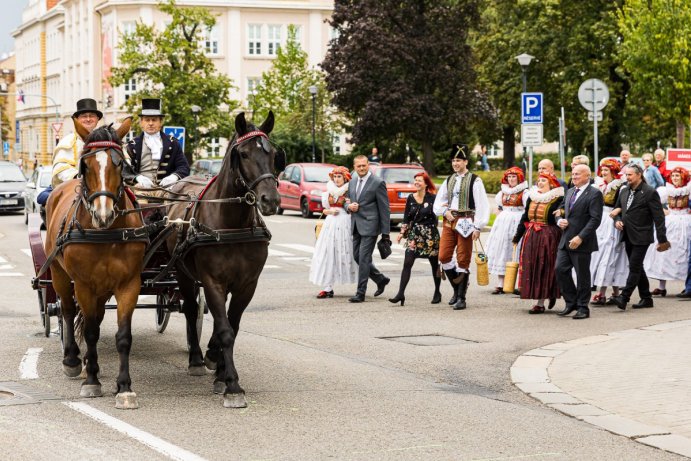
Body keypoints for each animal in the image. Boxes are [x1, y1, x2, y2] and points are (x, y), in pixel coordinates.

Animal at [44, 117, 146, 408]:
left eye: (119, 163)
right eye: (85, 165)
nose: (103, 214)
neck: (106, 234)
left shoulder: (128, 285)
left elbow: (123, 336)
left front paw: (124, 387)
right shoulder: (84, 285)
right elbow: (89, 332)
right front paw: (91, 381)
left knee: (97, 319)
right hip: (59, 274)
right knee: (67, 311)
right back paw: (72, 359)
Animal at [166, 111, 282, 406]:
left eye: (274, 153)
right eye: (243, 154)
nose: (271, 200)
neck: (232, 224)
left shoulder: (247, 285)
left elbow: (232, 326)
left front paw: (218, 367)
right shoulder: (212, 282)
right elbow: (225, 330)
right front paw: (231, 384)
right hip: (183, 274)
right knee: (190, 310)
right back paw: (196, 359)